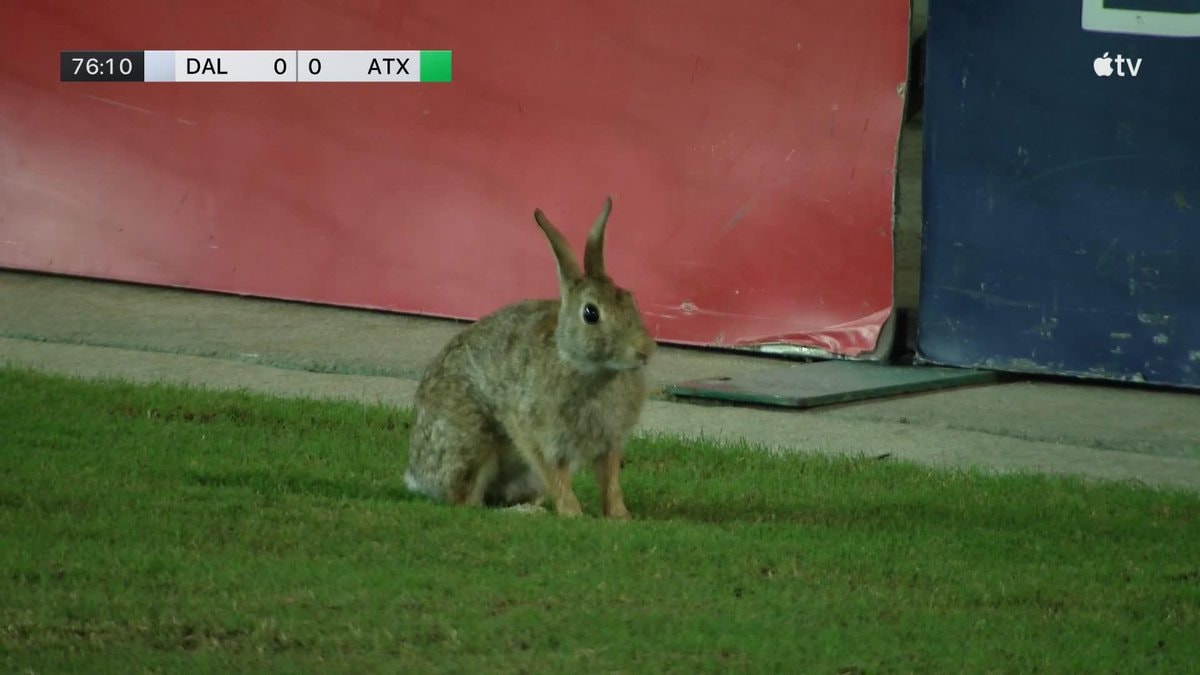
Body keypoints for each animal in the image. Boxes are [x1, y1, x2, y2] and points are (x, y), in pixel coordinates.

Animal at [403, 195, 656, 518]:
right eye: (591, 313)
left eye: (630, 298)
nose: (644, 350)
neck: (587, 368)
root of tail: (417, 475)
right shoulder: (537, 436)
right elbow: (557, 476)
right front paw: (573, 514)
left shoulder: (609, 443)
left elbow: (610, 481)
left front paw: (620, 517)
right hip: (469, 443)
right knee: (468, 503)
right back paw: (526, 513)